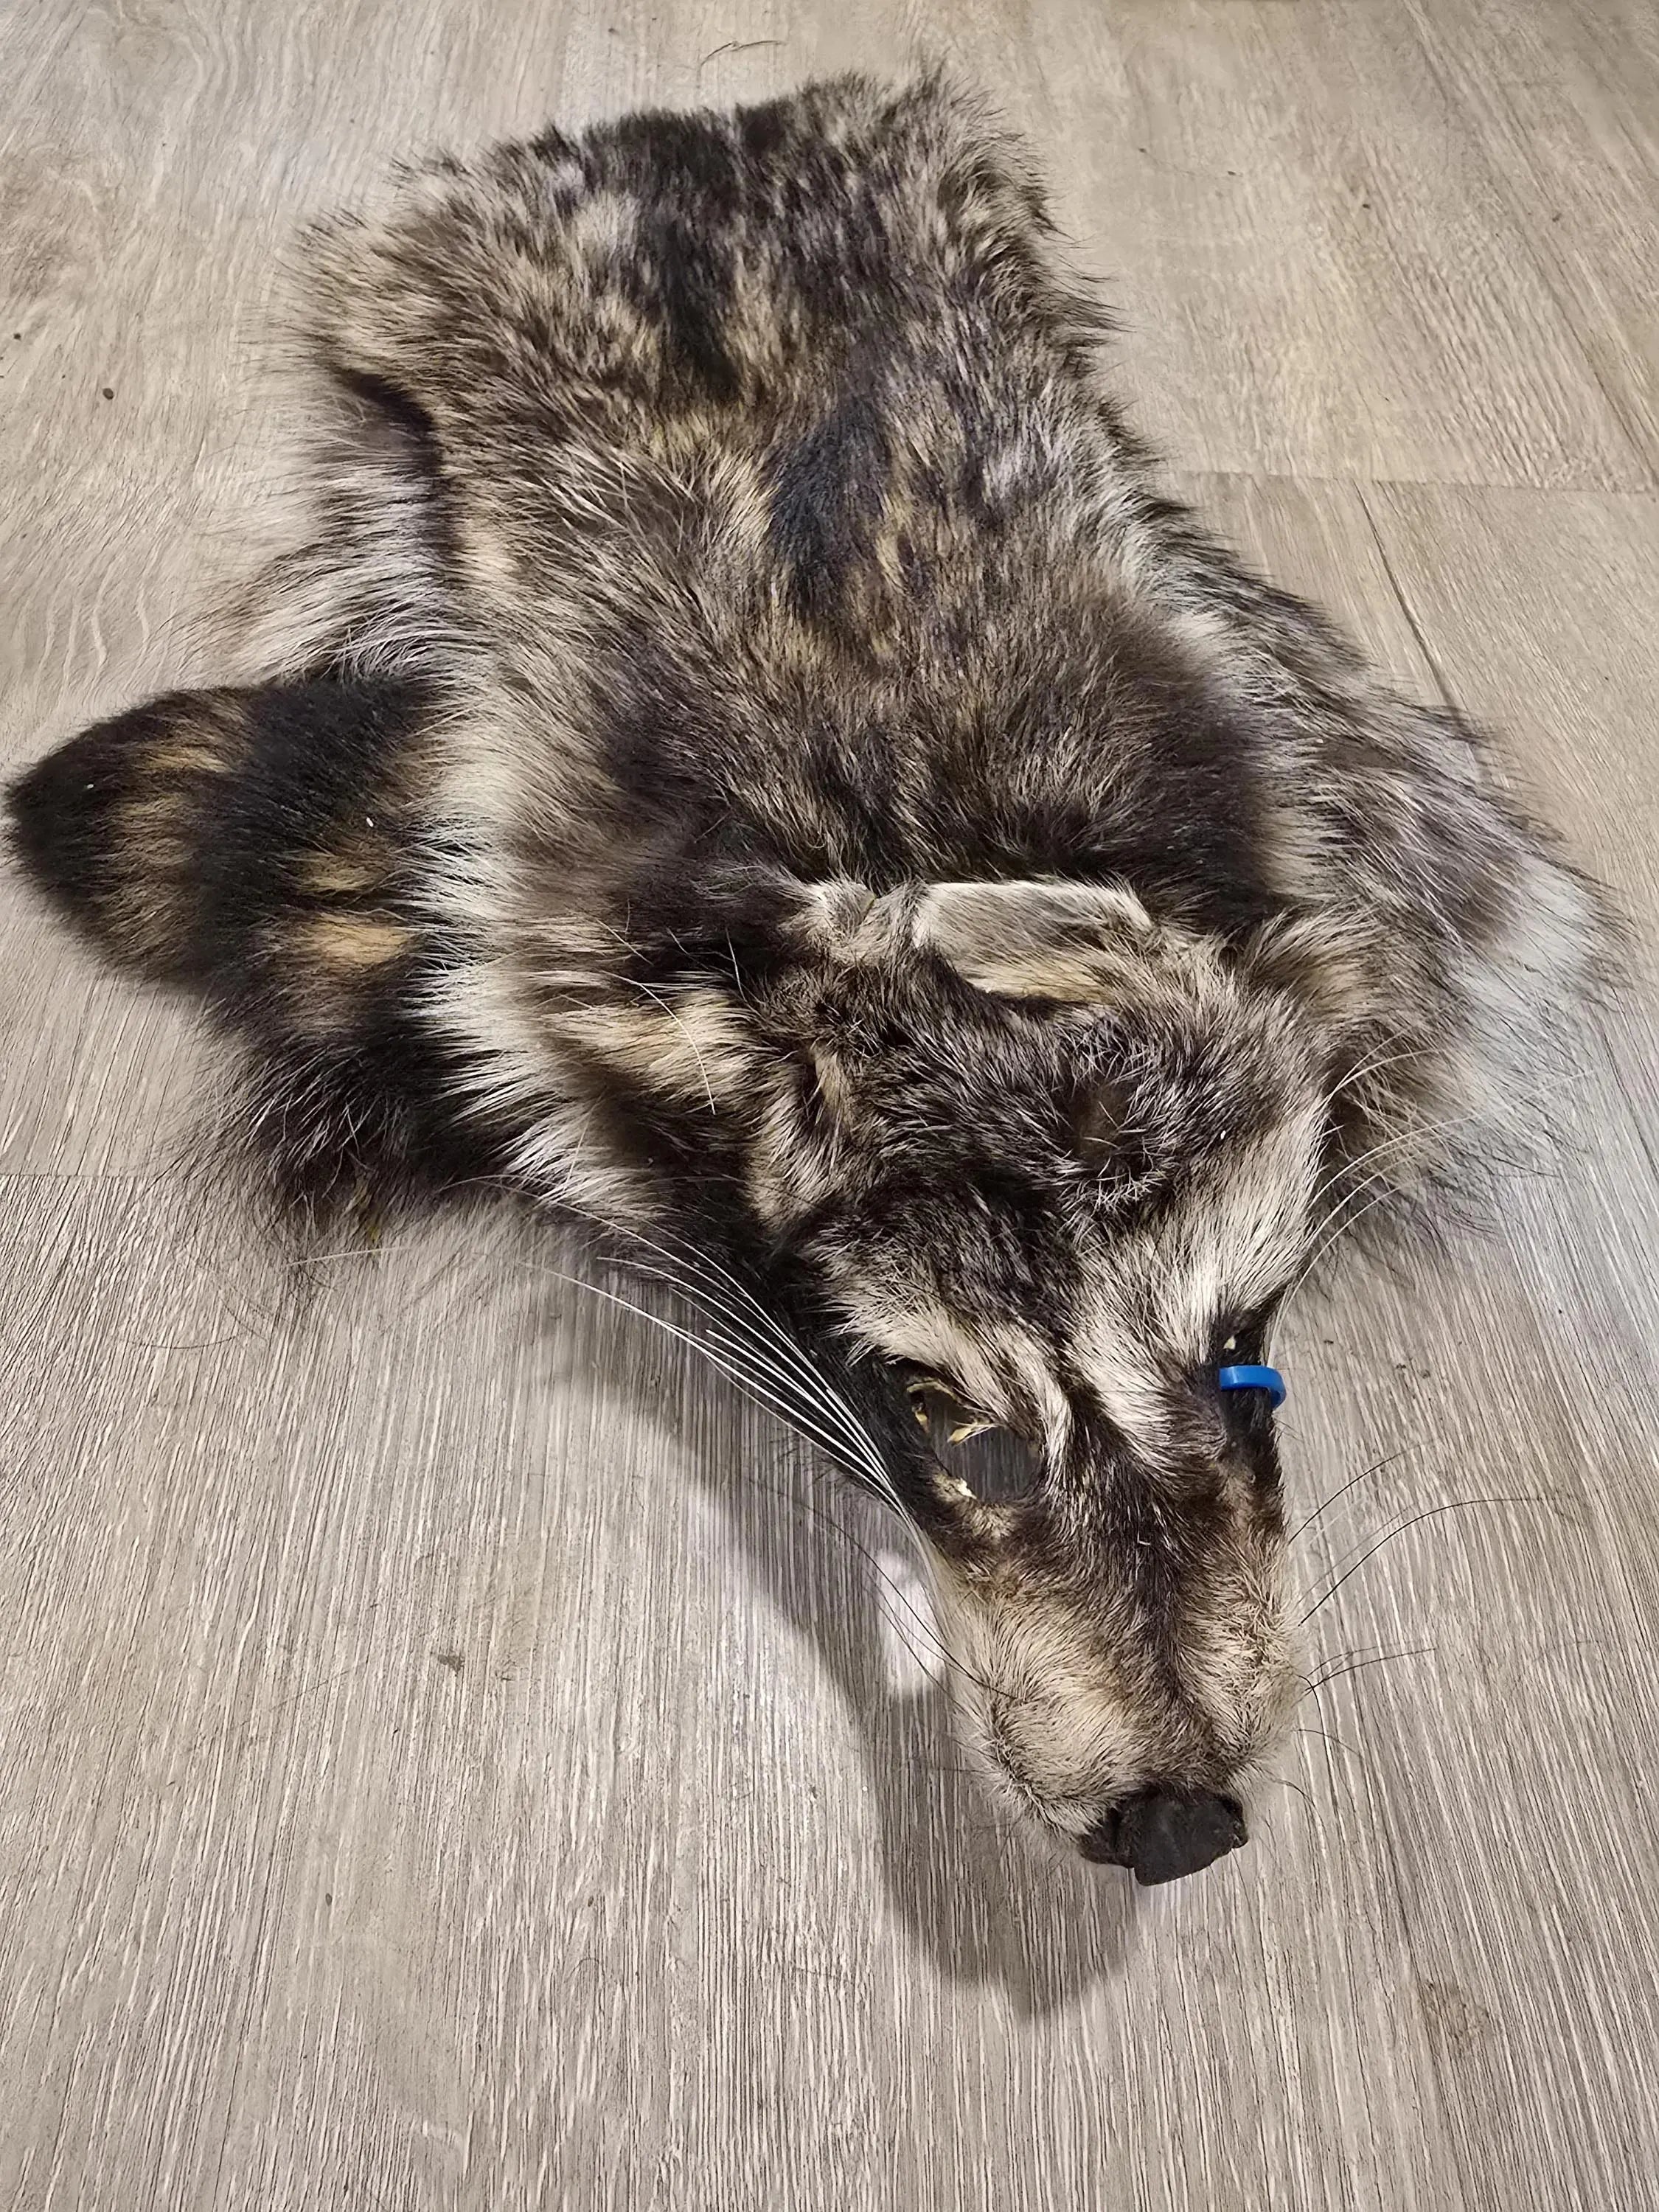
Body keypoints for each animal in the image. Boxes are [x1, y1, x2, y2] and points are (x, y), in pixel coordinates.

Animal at [7, 73, 1599, 1882]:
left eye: (1248, 1359)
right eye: (930, 1411)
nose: (1180, 1823)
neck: (924, 834)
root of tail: (700, 119)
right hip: (422, 270)